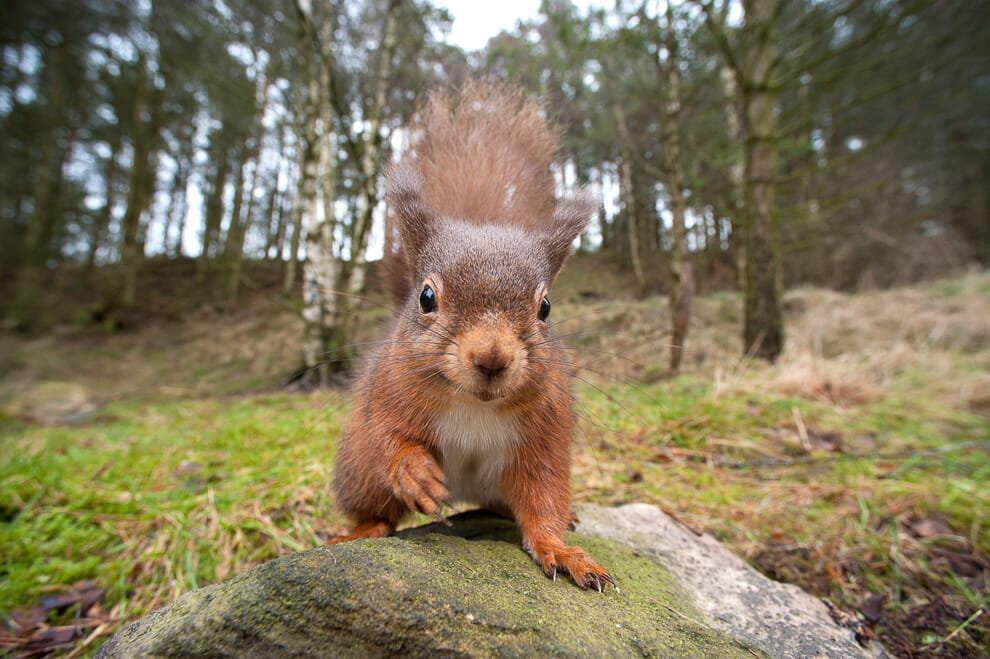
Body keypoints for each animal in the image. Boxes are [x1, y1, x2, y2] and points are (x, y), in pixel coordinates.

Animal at [330, 82, 616, 592]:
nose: (491, 358)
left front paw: (563, 551)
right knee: (375, 504)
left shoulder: (544, 439)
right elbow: (389, 440)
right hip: (357, 469)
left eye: (545, 307)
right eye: (426, 297)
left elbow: (543, 502)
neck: (473, 406)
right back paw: (362, 529)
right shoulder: (385, 395)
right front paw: (415, 473)